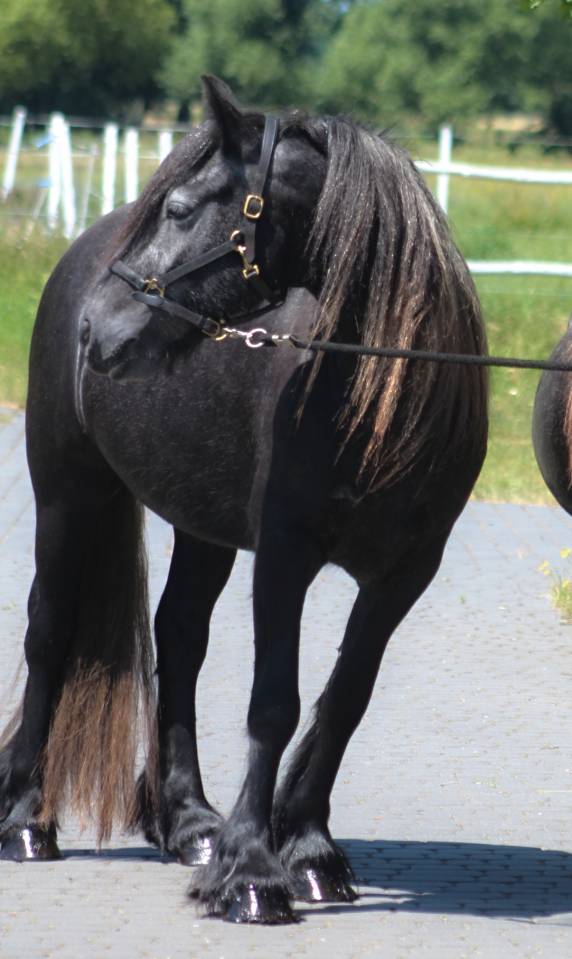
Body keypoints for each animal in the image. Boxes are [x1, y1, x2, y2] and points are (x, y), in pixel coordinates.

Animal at [0, 76, 488, 924]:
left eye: (179, 209)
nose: (99, 329)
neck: (377, 392)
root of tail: (76, 261)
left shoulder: (404, 575)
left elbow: (343, 700)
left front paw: (307, 848)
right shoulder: (285, 557)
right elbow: (274, 702)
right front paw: (253, 873)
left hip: (203, 529)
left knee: (179, 638)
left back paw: (191, 821)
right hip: (68, 496)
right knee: (48, 633)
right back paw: (29, 819)